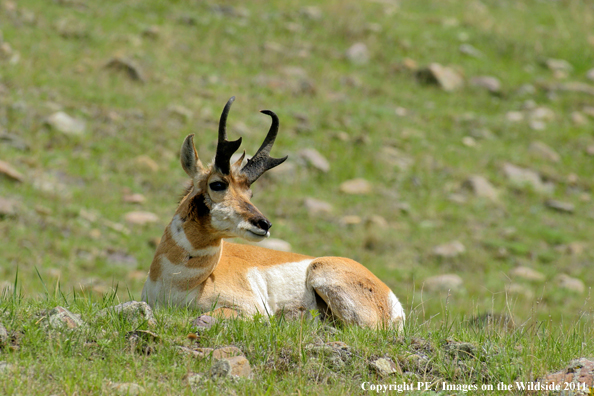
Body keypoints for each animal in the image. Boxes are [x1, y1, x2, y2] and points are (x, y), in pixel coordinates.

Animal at [141, 98, 404, 328]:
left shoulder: (250, 310)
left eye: (250, 193)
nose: (264, 224)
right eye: (217, 184)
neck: (181, 280)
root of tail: (391, 298)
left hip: (323, 277)